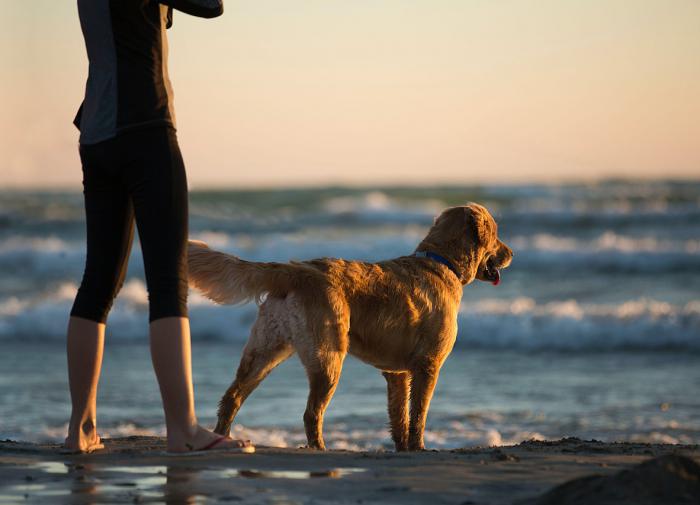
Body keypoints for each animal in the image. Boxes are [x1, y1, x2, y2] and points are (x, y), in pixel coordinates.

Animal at [189, 202, 512, 448]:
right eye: (496, 234)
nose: (511, 253)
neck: (441, 262)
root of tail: (296, 270)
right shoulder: (428, 365)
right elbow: (418, 415)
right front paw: (419, 447)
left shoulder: (396, 373)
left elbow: (400, 416)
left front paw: (403, 449)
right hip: (328, 357)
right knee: (311, 414)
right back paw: (319, 449)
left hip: (265, 350)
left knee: (231, 397)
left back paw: (222, 439)